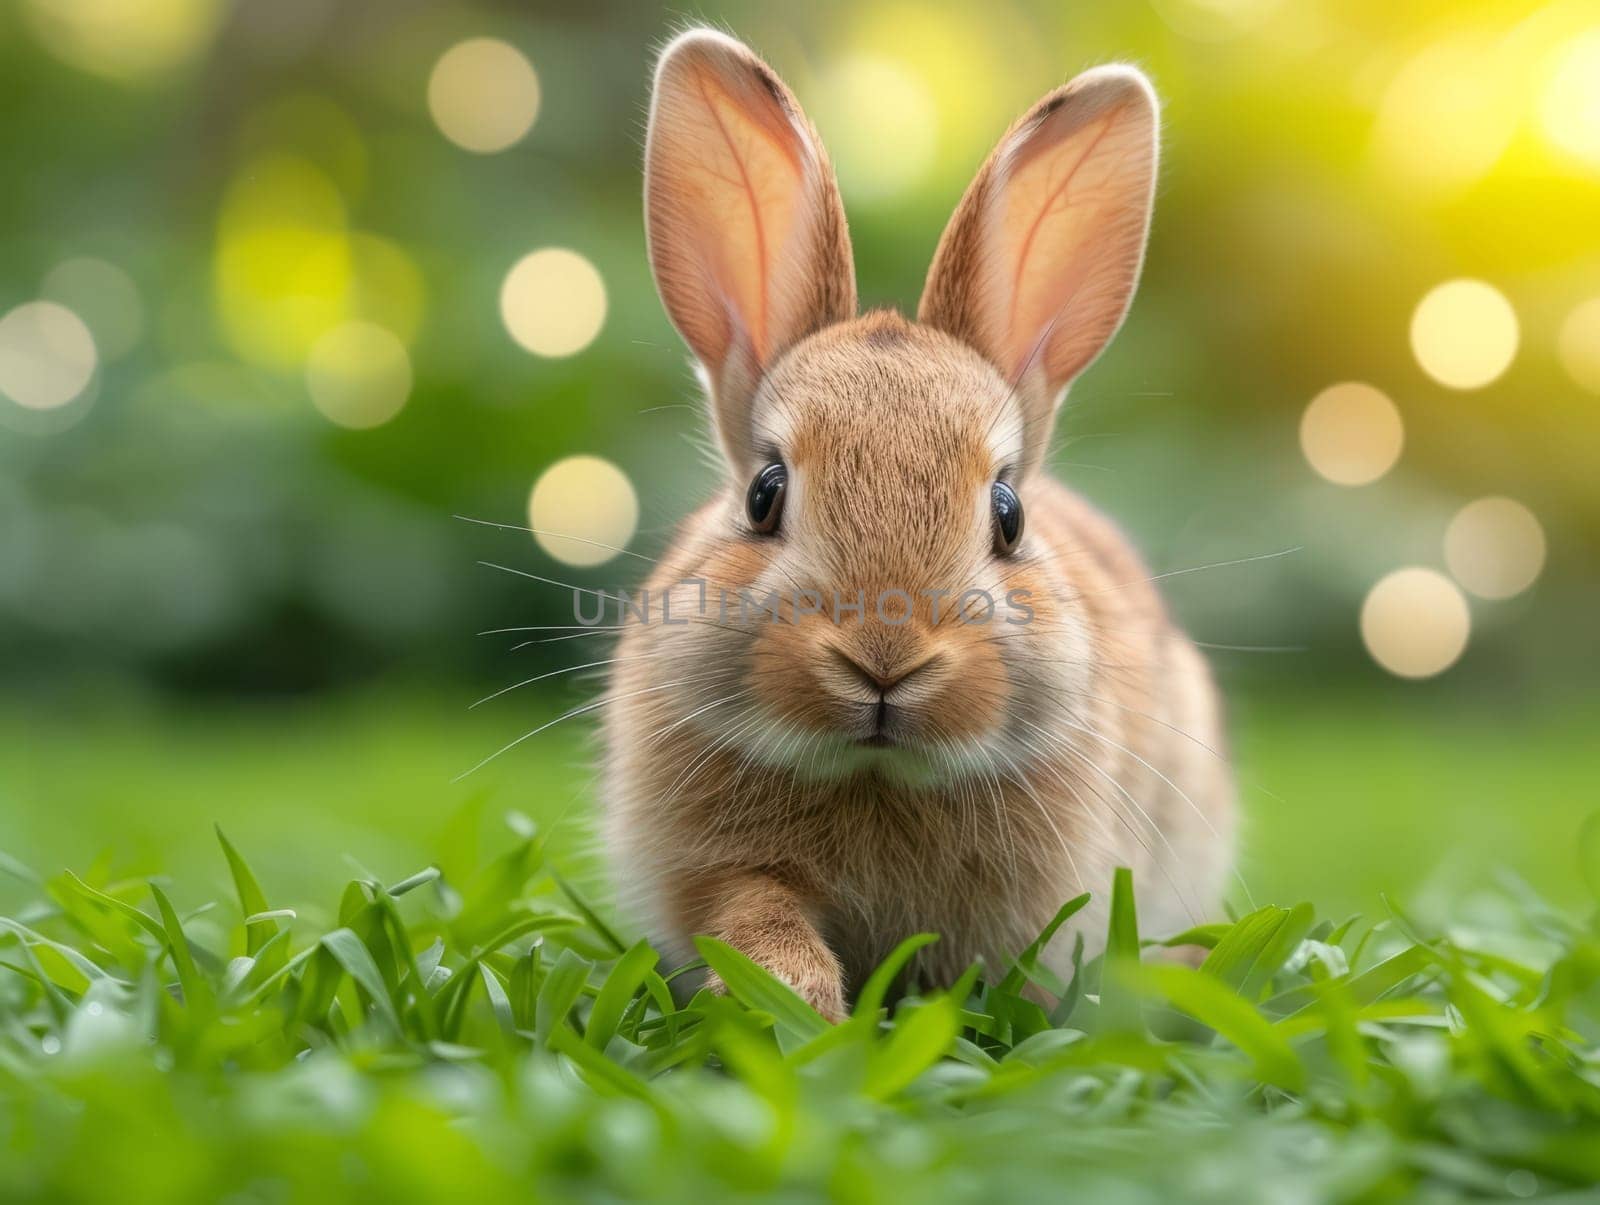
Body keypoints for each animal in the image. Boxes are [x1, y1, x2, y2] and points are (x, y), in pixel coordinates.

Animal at [601, 28, 1235, 1017]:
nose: (884, 658)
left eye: (1009, 515)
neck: (876, 772)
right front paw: (796, 1001)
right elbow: (755, 913)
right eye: (764, 495)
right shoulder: (721, 871)